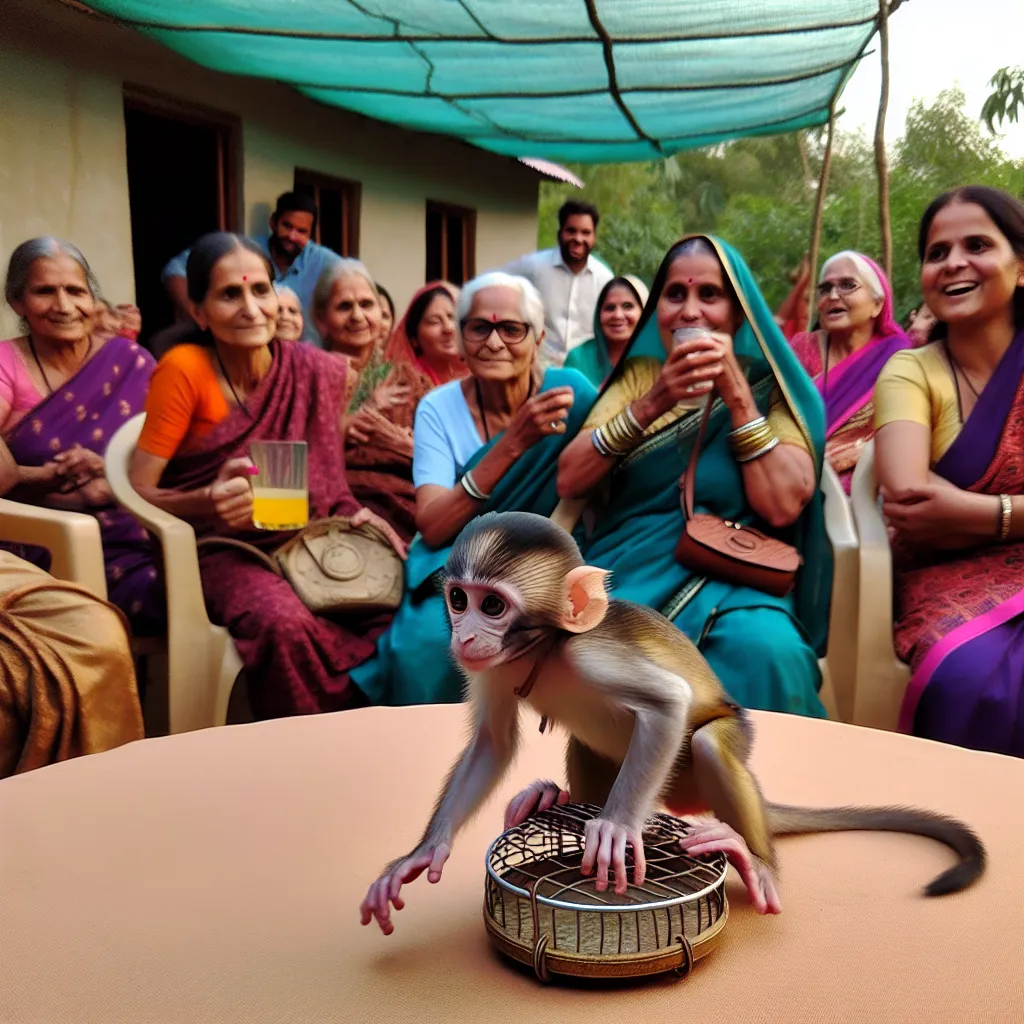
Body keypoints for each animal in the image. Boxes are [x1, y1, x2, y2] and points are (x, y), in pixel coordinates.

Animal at [359, 511, 986, 936]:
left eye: (492, 606)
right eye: (458, 599)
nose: (464, 637)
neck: (545, 647)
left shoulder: (590, 654)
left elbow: (667, 704)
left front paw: (614, 829)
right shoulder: (493, 668)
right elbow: (493, 741)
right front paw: (422, 854)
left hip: (698, 768)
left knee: (706, 741)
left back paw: (756, 863)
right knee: (585, 746)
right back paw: (553, 798)